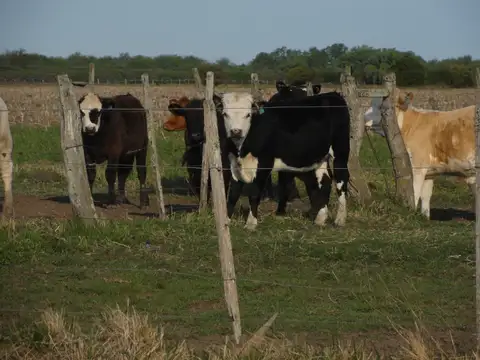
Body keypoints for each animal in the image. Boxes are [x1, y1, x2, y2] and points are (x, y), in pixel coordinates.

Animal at [216, 88, 350, 229]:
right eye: (225, 114)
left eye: (248, 114)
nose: (236, 131)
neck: (242, 149)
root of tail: (332, 94)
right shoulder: (233, 163)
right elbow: (233, 194)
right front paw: (226, 221)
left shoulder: (264, 163)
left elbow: (254, 193)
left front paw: (251, 223)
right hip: (320, 158)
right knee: (325, 181)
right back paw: (320, 218)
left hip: (340, 151)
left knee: (341, 180)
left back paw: (340, 219)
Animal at [366, 90, 474, 219]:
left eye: (380, 107)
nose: (364, 118)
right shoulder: (430, 172)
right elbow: (426, 197)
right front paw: (425, 217)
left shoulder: (417, 167)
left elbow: (415, 193)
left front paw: (410, 213)